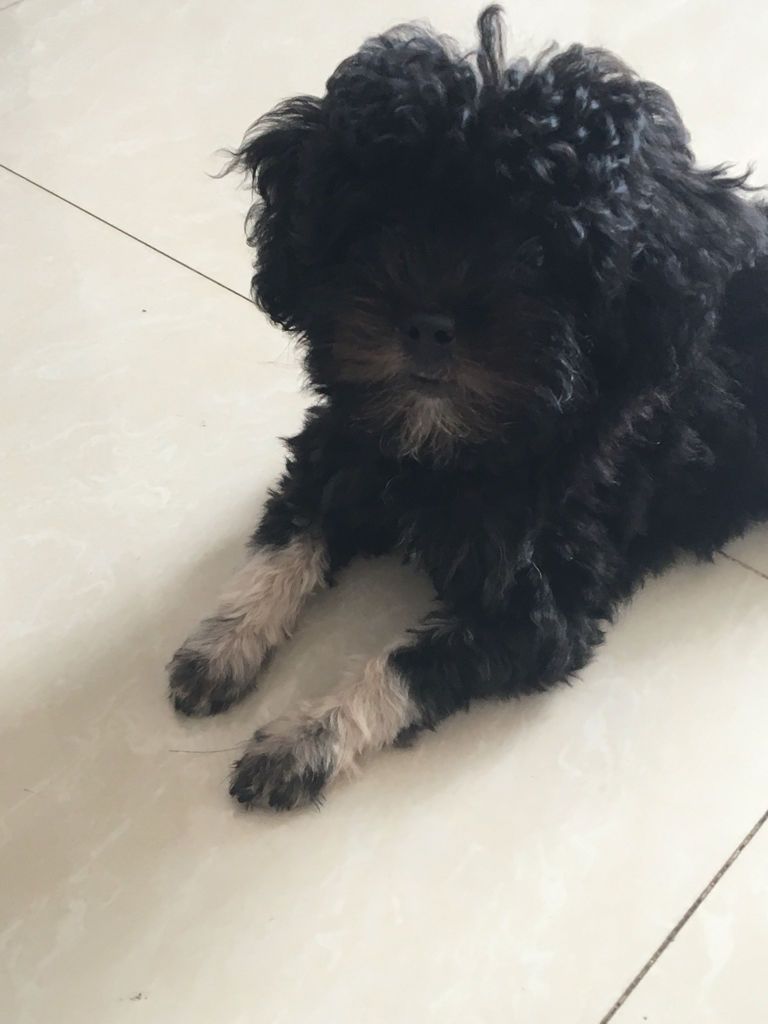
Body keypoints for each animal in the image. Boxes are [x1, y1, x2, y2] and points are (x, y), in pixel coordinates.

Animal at [168, 6, 768, 810]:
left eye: (539, 248)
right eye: (382, 218)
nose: (428, 325)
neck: (450, 445)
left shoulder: (538, 611)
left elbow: (406, 665)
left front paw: (302, 742)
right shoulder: (341, 453)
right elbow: (285, 542)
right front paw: (222, 643)